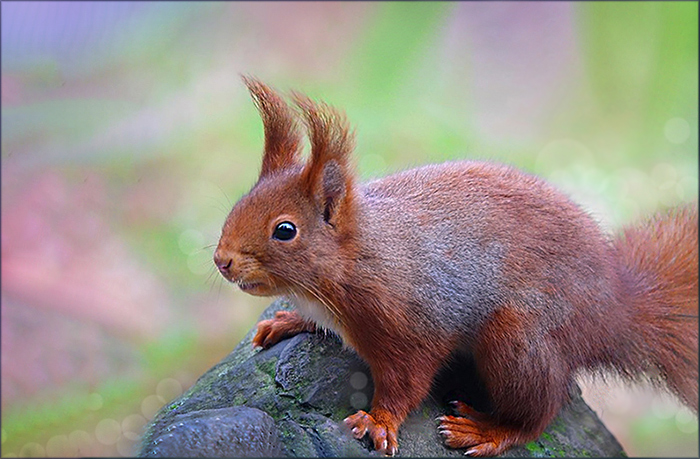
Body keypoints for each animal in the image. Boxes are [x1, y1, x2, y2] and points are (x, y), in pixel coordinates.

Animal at [214, 77, 699, 456]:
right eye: (239, 201)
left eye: (285, 230)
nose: (222, 260)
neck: (360, 256)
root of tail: (616, 311)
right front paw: (288, 320)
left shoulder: (412, 322)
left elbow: (408, 380)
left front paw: (379, 421)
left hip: (518, 339)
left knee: (542, 410)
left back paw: (488, 429)